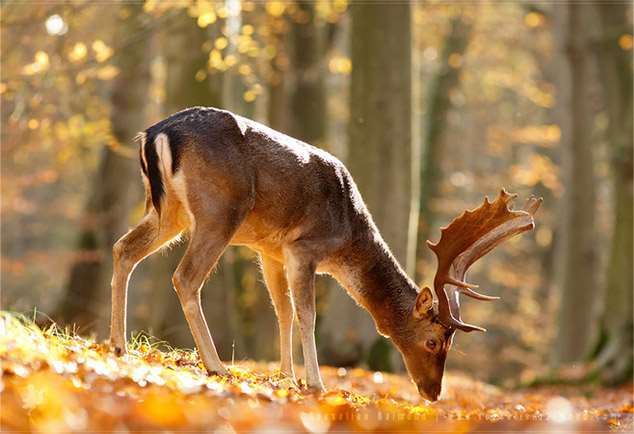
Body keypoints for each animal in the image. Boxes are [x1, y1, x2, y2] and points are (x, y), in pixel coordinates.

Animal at [108, 107, 540, 402]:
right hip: (219, 211)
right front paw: (315, 382)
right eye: (434, 341)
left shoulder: (270, 249)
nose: (433, 393)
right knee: (185, 277)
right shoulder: (305, 247)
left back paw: (118, 345)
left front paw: (286, 377)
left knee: (123, 248)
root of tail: (156, 133)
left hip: (169, 211)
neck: (348, 234)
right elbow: (307, 314)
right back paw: (215, 366)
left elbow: (282, 311)